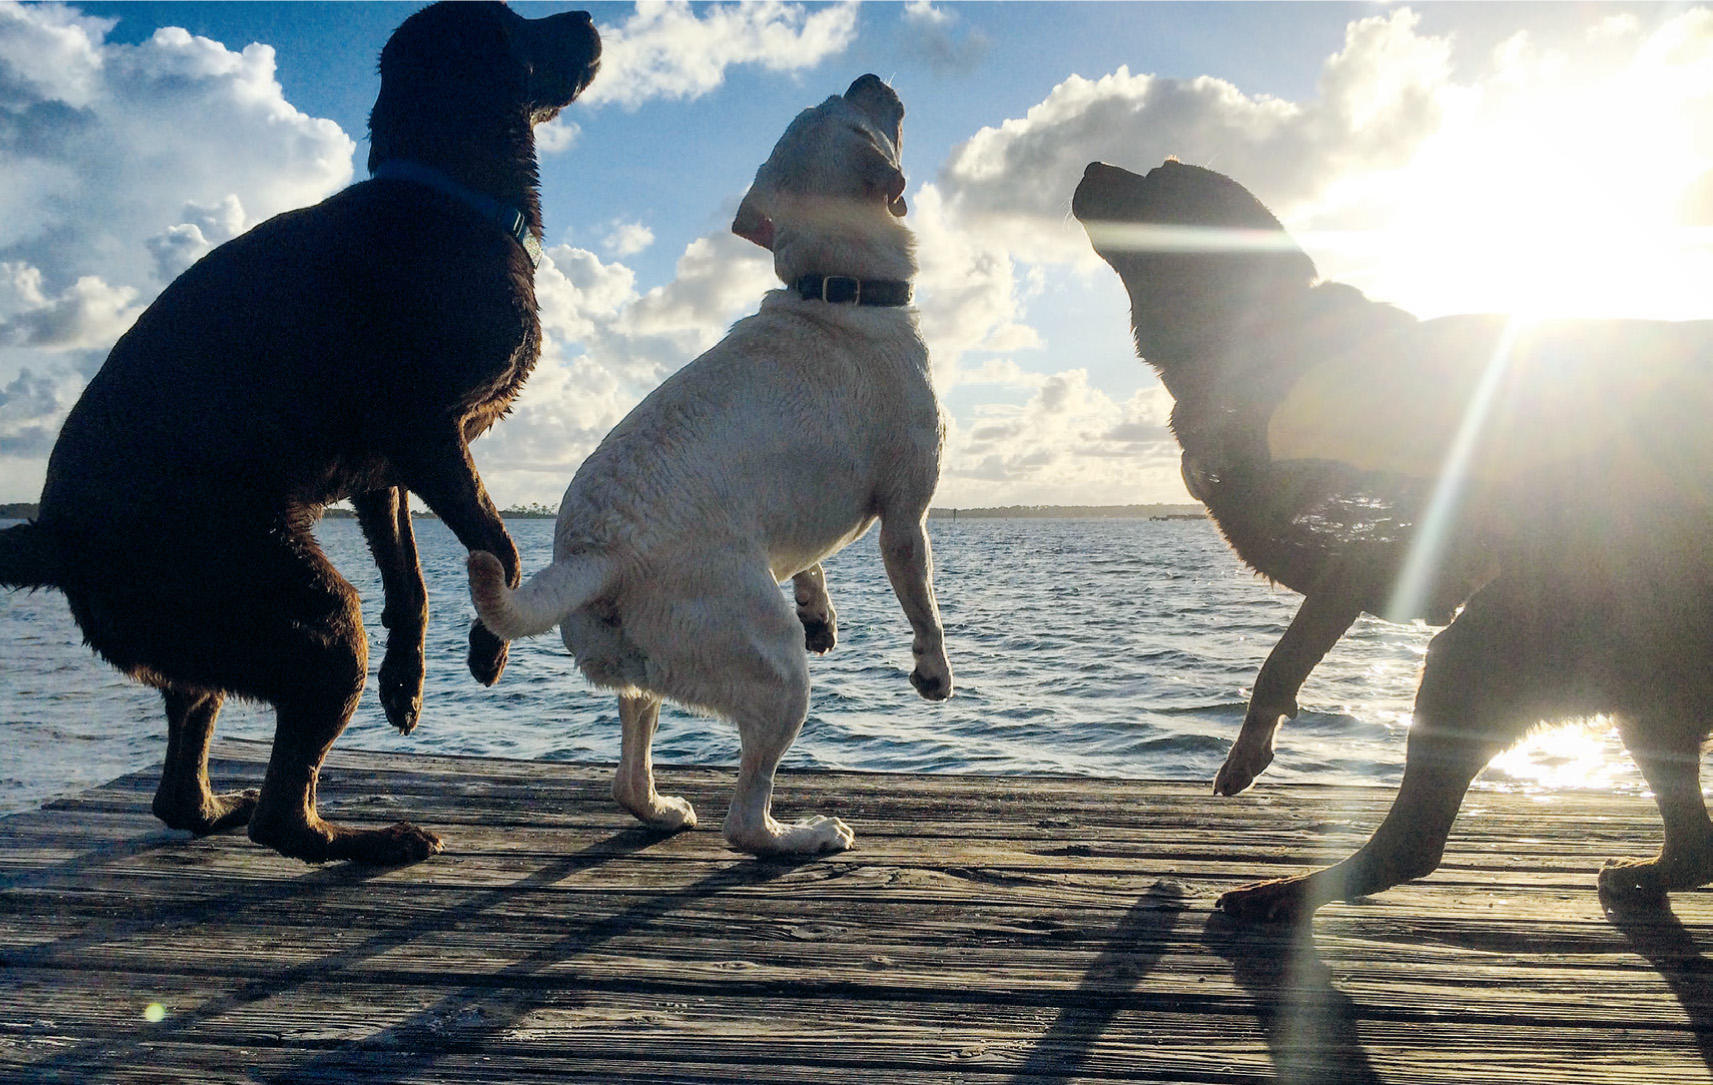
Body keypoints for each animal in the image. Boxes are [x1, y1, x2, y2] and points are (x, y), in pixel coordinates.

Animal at [0, 2, 602, 863]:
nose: (586, 17)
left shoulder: (383, 475)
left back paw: (226, 805)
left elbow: (411, 582)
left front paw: (405, 687)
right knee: (282, 818)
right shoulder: (426, 432)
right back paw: (379, 839)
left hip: (210, 641)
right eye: (513, 24)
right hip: (311, 611)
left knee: (180, 790)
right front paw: (488, 648)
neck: (450, 192)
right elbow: (501, 544)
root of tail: (53, 536)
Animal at [469, 74, 952, 853]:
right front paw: (933, 673)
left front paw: (821, 612)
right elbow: (922, 598)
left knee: (629, 776)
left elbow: (810, 562)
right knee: (743, 819)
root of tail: (595, 553)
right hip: (773, 667)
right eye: (857, 111)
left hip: (645, 670)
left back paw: (664, 809)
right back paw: (807, 835)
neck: (831, 286)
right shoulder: (907, 513)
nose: (867, 78)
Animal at [1082, 161, 1713, 918]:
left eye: (1162, 180)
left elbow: (1280, 661)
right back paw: (1647, 873)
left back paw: (1284, 894)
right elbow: (1289, 649)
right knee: (1697, 842)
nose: (1091, 167)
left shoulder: (1363, 539)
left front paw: (1250, 747)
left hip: (1484, 656)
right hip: (1644, 703)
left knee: (1414, 839)